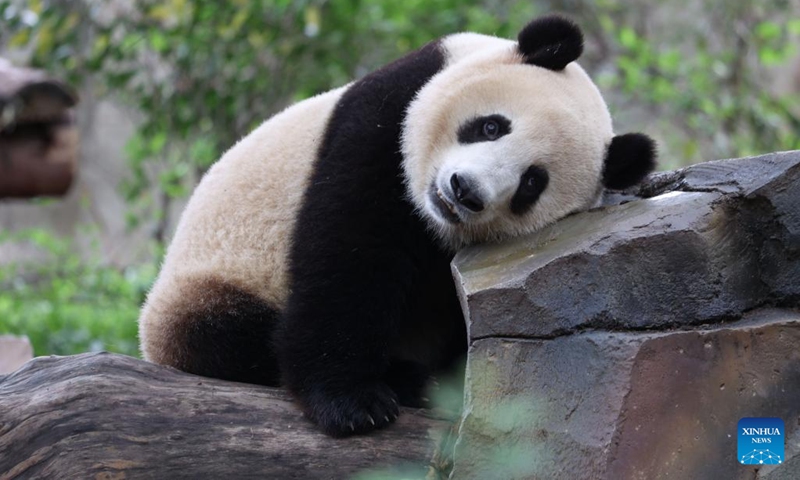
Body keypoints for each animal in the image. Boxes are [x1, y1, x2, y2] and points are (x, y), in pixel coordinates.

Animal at [139, 15, 656, 437]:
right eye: (491, 127)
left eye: (532, 183)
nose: (464, 191)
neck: (429, 218)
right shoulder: (384, 120)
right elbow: (349, 257)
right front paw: (353, 403)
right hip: (207, 285)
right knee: (227, 336)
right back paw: (406, 378)